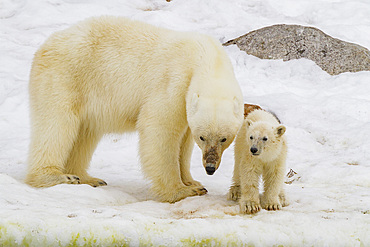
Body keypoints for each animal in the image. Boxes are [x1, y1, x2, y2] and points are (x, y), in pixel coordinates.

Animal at [26, 16, 246, 203]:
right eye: (203, 137)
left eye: (223, 138)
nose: (210, 167)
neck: (206, 57)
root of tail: (45, 45)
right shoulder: (175, 82)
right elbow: (161, 128)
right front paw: (181, 190)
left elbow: (184, 141)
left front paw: (193, 182)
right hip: (63, 78)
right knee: (58, 125)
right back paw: (56, 176)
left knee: (84, 134)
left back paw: (88, 178)